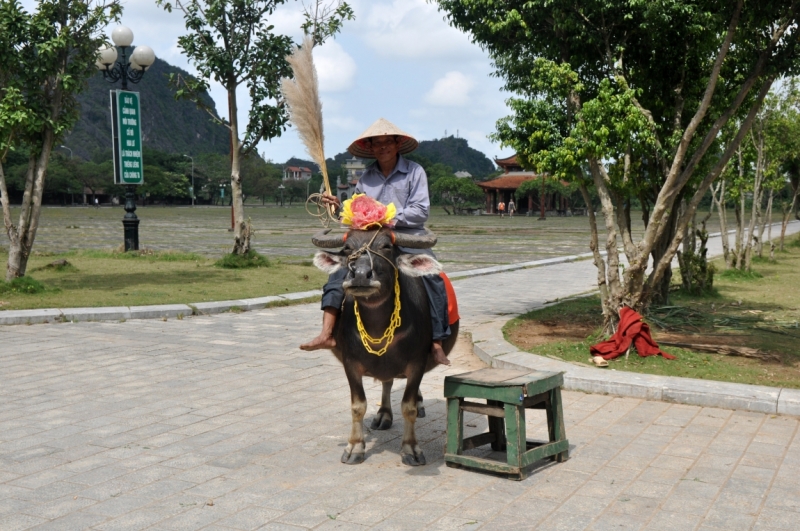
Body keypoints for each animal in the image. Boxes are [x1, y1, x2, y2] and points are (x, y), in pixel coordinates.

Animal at [314, 227, 462, 468]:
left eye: (386, 247)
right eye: (347, 248)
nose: (360, 275)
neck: (378, 327)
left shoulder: (417, 363)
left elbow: (408, 407)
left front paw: (411, 449)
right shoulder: (350, 363)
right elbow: (358, 405)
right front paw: (355, 447)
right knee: (387, 381)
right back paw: (383, 414)